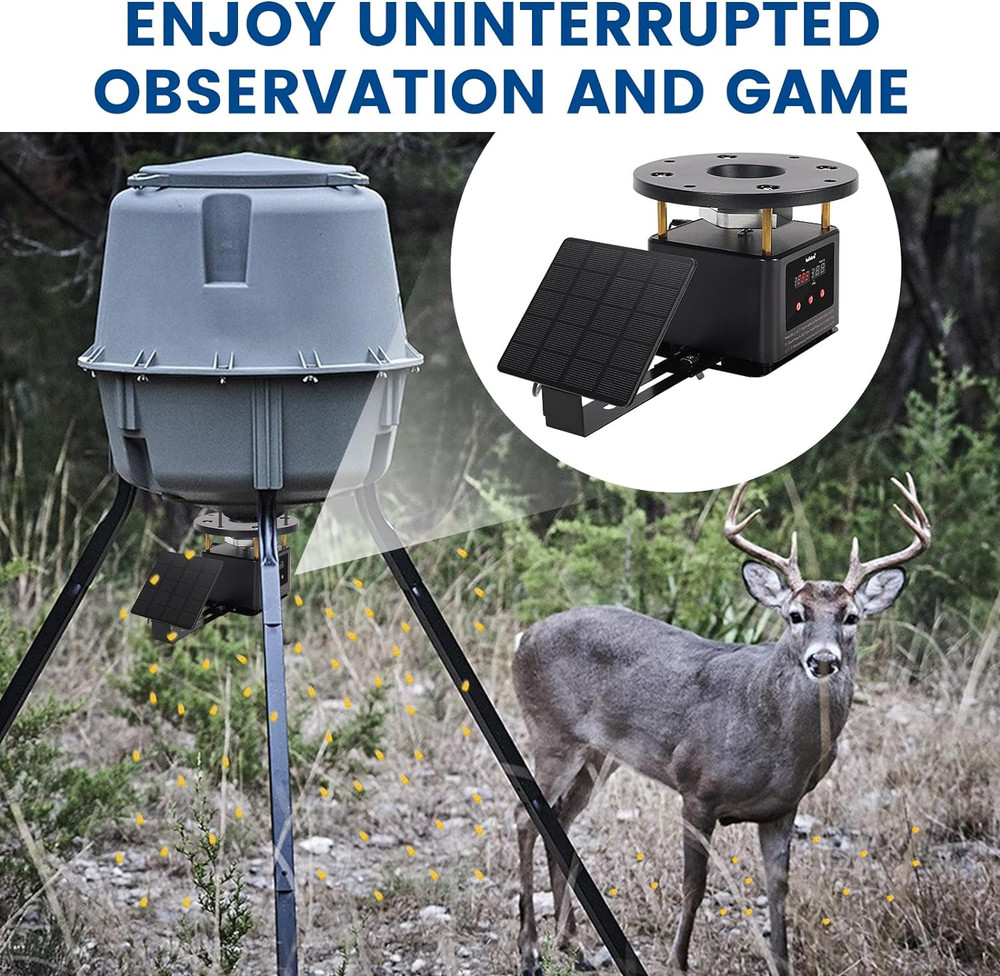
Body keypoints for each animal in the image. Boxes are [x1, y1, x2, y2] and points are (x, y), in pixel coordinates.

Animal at [513, 475, 931, 976]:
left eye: (851, 617)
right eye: (795, 614)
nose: (823, 660)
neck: (774, 741)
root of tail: (525, 636)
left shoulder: (783, 808)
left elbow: (778, 891)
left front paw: (782, 964)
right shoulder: (697, 789)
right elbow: (694, 885)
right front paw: (677, 962)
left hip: (599, 754)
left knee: (559, 819)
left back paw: (572, 943)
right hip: (552, 733)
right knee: (524, 817)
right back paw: (530, 949)